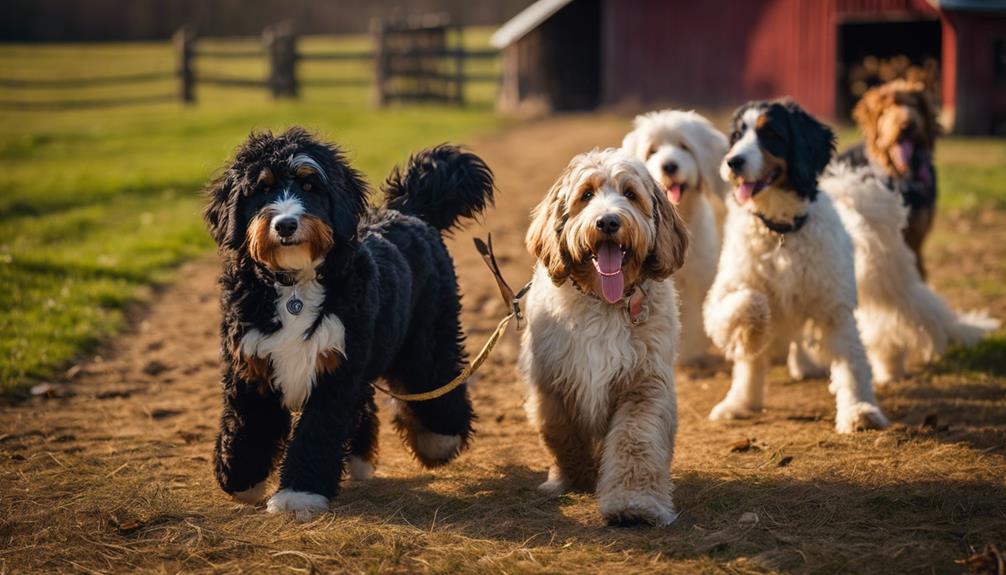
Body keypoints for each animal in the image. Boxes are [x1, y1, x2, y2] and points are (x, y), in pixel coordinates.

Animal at [207, 128, 494, 518]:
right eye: (262, 189)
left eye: (310, 185)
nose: (286, 224)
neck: (294, 287)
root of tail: (408, 210)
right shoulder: (253, 367)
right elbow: (248, 424)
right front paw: (243, 481)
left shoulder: (336, 372)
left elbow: (316, 432)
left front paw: (299, 494)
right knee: (369, 399)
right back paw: (361, 458)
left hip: (429, 332)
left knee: (436, 374)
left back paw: (439, 438)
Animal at [519, 147, 692, 526]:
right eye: (586, 195)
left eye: (630, 194)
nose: (609, 222)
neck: (605, 302)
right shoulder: (552, 382)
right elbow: (560, 433)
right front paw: (576, 476)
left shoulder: (644, 383)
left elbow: (635, 439)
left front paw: (634, 503)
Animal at [708, 100, 889, 430]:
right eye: (737, 135)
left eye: (770, 134)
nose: (732, 162)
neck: (781, 231)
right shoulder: (721, 298)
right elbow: (750, 303)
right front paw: (755, 333)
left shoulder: (835, 308)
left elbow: (852, 363)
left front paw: (859, 410)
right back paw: (740, 403)